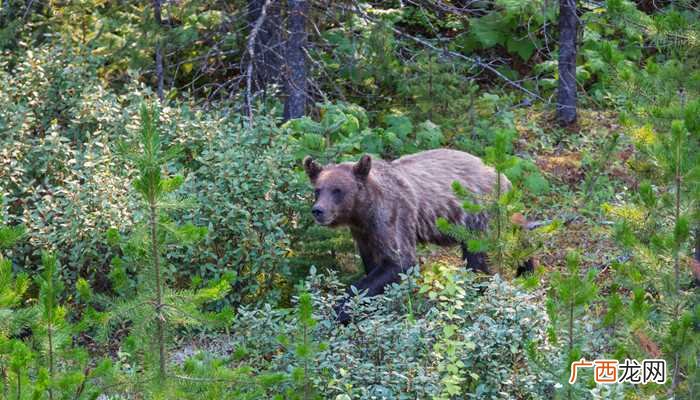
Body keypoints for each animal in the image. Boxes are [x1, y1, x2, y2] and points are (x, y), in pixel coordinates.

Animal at [303, 149, 533, 322]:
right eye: (318, 190)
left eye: (337, 190)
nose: (318, 211)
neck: (363, 212)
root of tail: (502, 176)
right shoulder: (364, 234)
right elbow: (373, 264)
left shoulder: (393, 218)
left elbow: (399, 262)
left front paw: (339, 310)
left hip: (480, 217)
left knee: (482, 259)